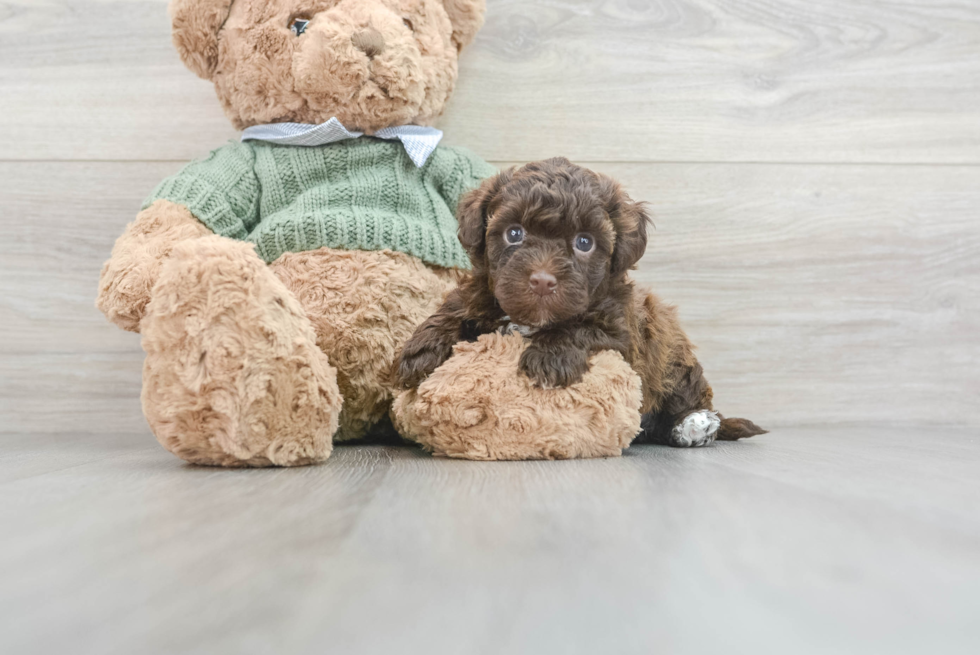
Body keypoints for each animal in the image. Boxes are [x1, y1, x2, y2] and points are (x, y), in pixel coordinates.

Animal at [394, 158, 760, 446]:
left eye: (584, 242)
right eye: (514, 233)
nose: (542, 280)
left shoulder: (623, 336)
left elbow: (580, 327)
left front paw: (549, 357)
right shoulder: (482, 294)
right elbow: (455, 310)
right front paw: (418, 352)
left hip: (672, 354)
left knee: (688, 395)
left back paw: (695, 426)